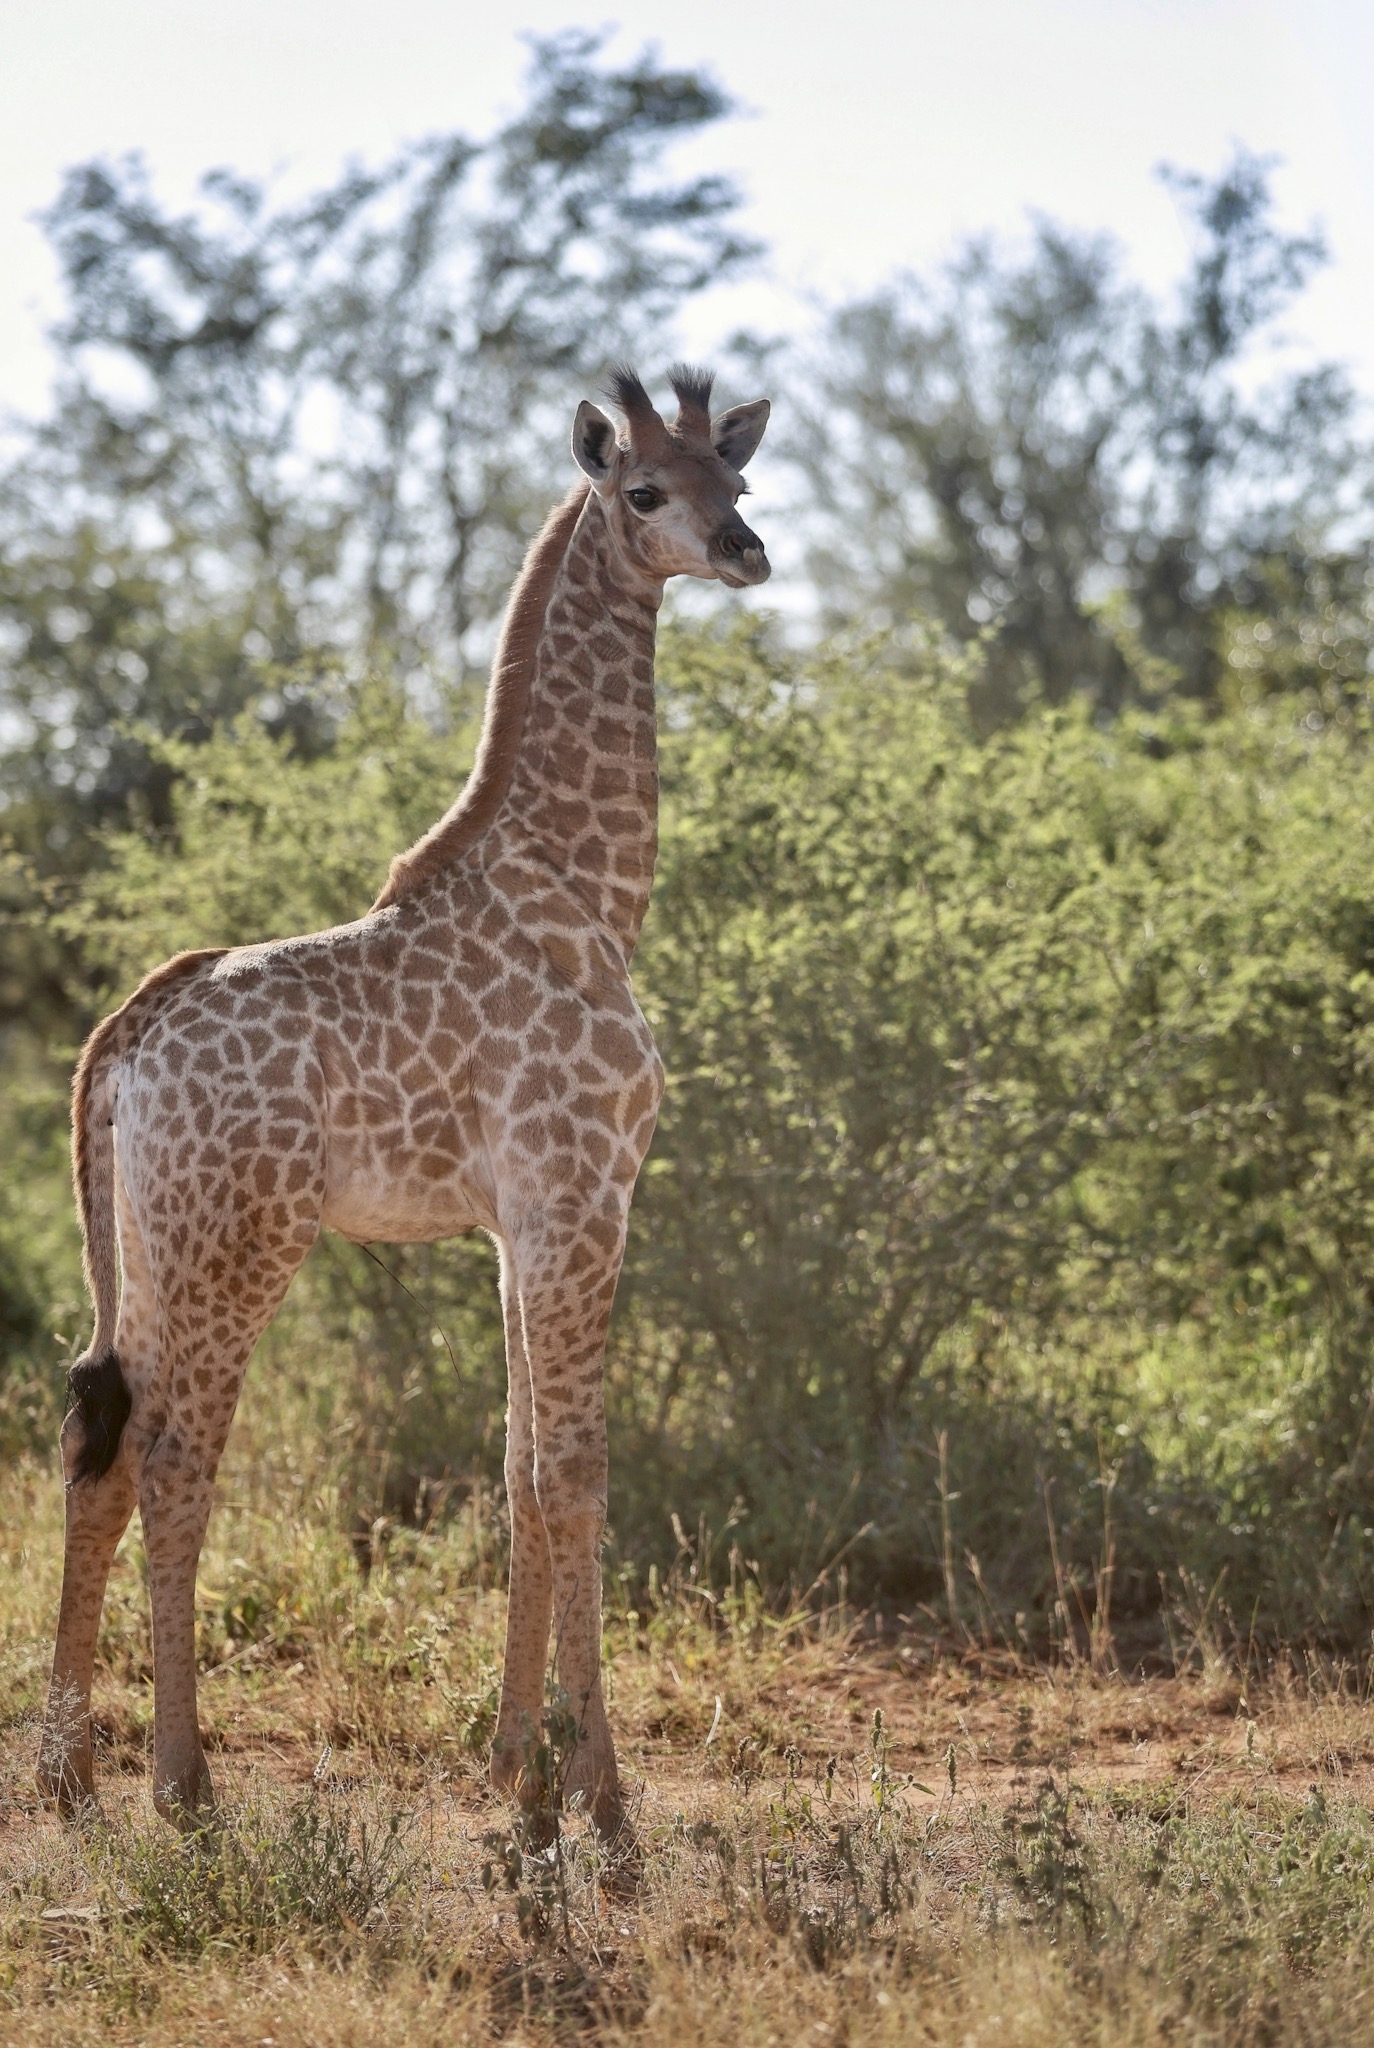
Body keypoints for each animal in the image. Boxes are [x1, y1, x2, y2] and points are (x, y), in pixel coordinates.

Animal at [36, 365, 770, 1837]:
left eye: (738, 477)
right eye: (645, 490)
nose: (745, 551)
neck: (591, 889)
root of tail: (125, 1038)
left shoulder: (514, 1223)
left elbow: (518, 1471)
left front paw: (515, 1773)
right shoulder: (581, 1197)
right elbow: (575, 1471)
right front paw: (603, 1801)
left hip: (149, 1240)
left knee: (99, 1436)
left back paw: (71, 1774)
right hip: (239, 1240)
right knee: (176, 1458)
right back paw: (184, 1785)